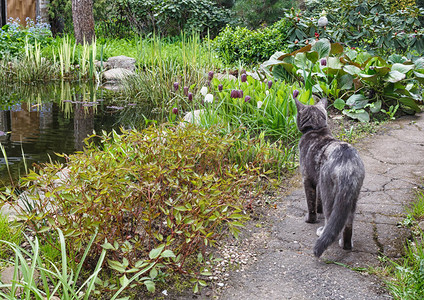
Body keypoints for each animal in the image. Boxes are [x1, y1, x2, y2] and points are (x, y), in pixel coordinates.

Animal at [294, 98, 364, 258]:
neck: (316, 129)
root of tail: (347, 166)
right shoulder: (318, 180)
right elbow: (317, 200)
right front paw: (317, 209)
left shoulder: (307, 178)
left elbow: (311, 202)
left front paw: (311, 219)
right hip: (352, 198)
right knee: (347, 223)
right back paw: (345, 245)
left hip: (329, 190)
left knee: (329, 215)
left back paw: (322, 232)